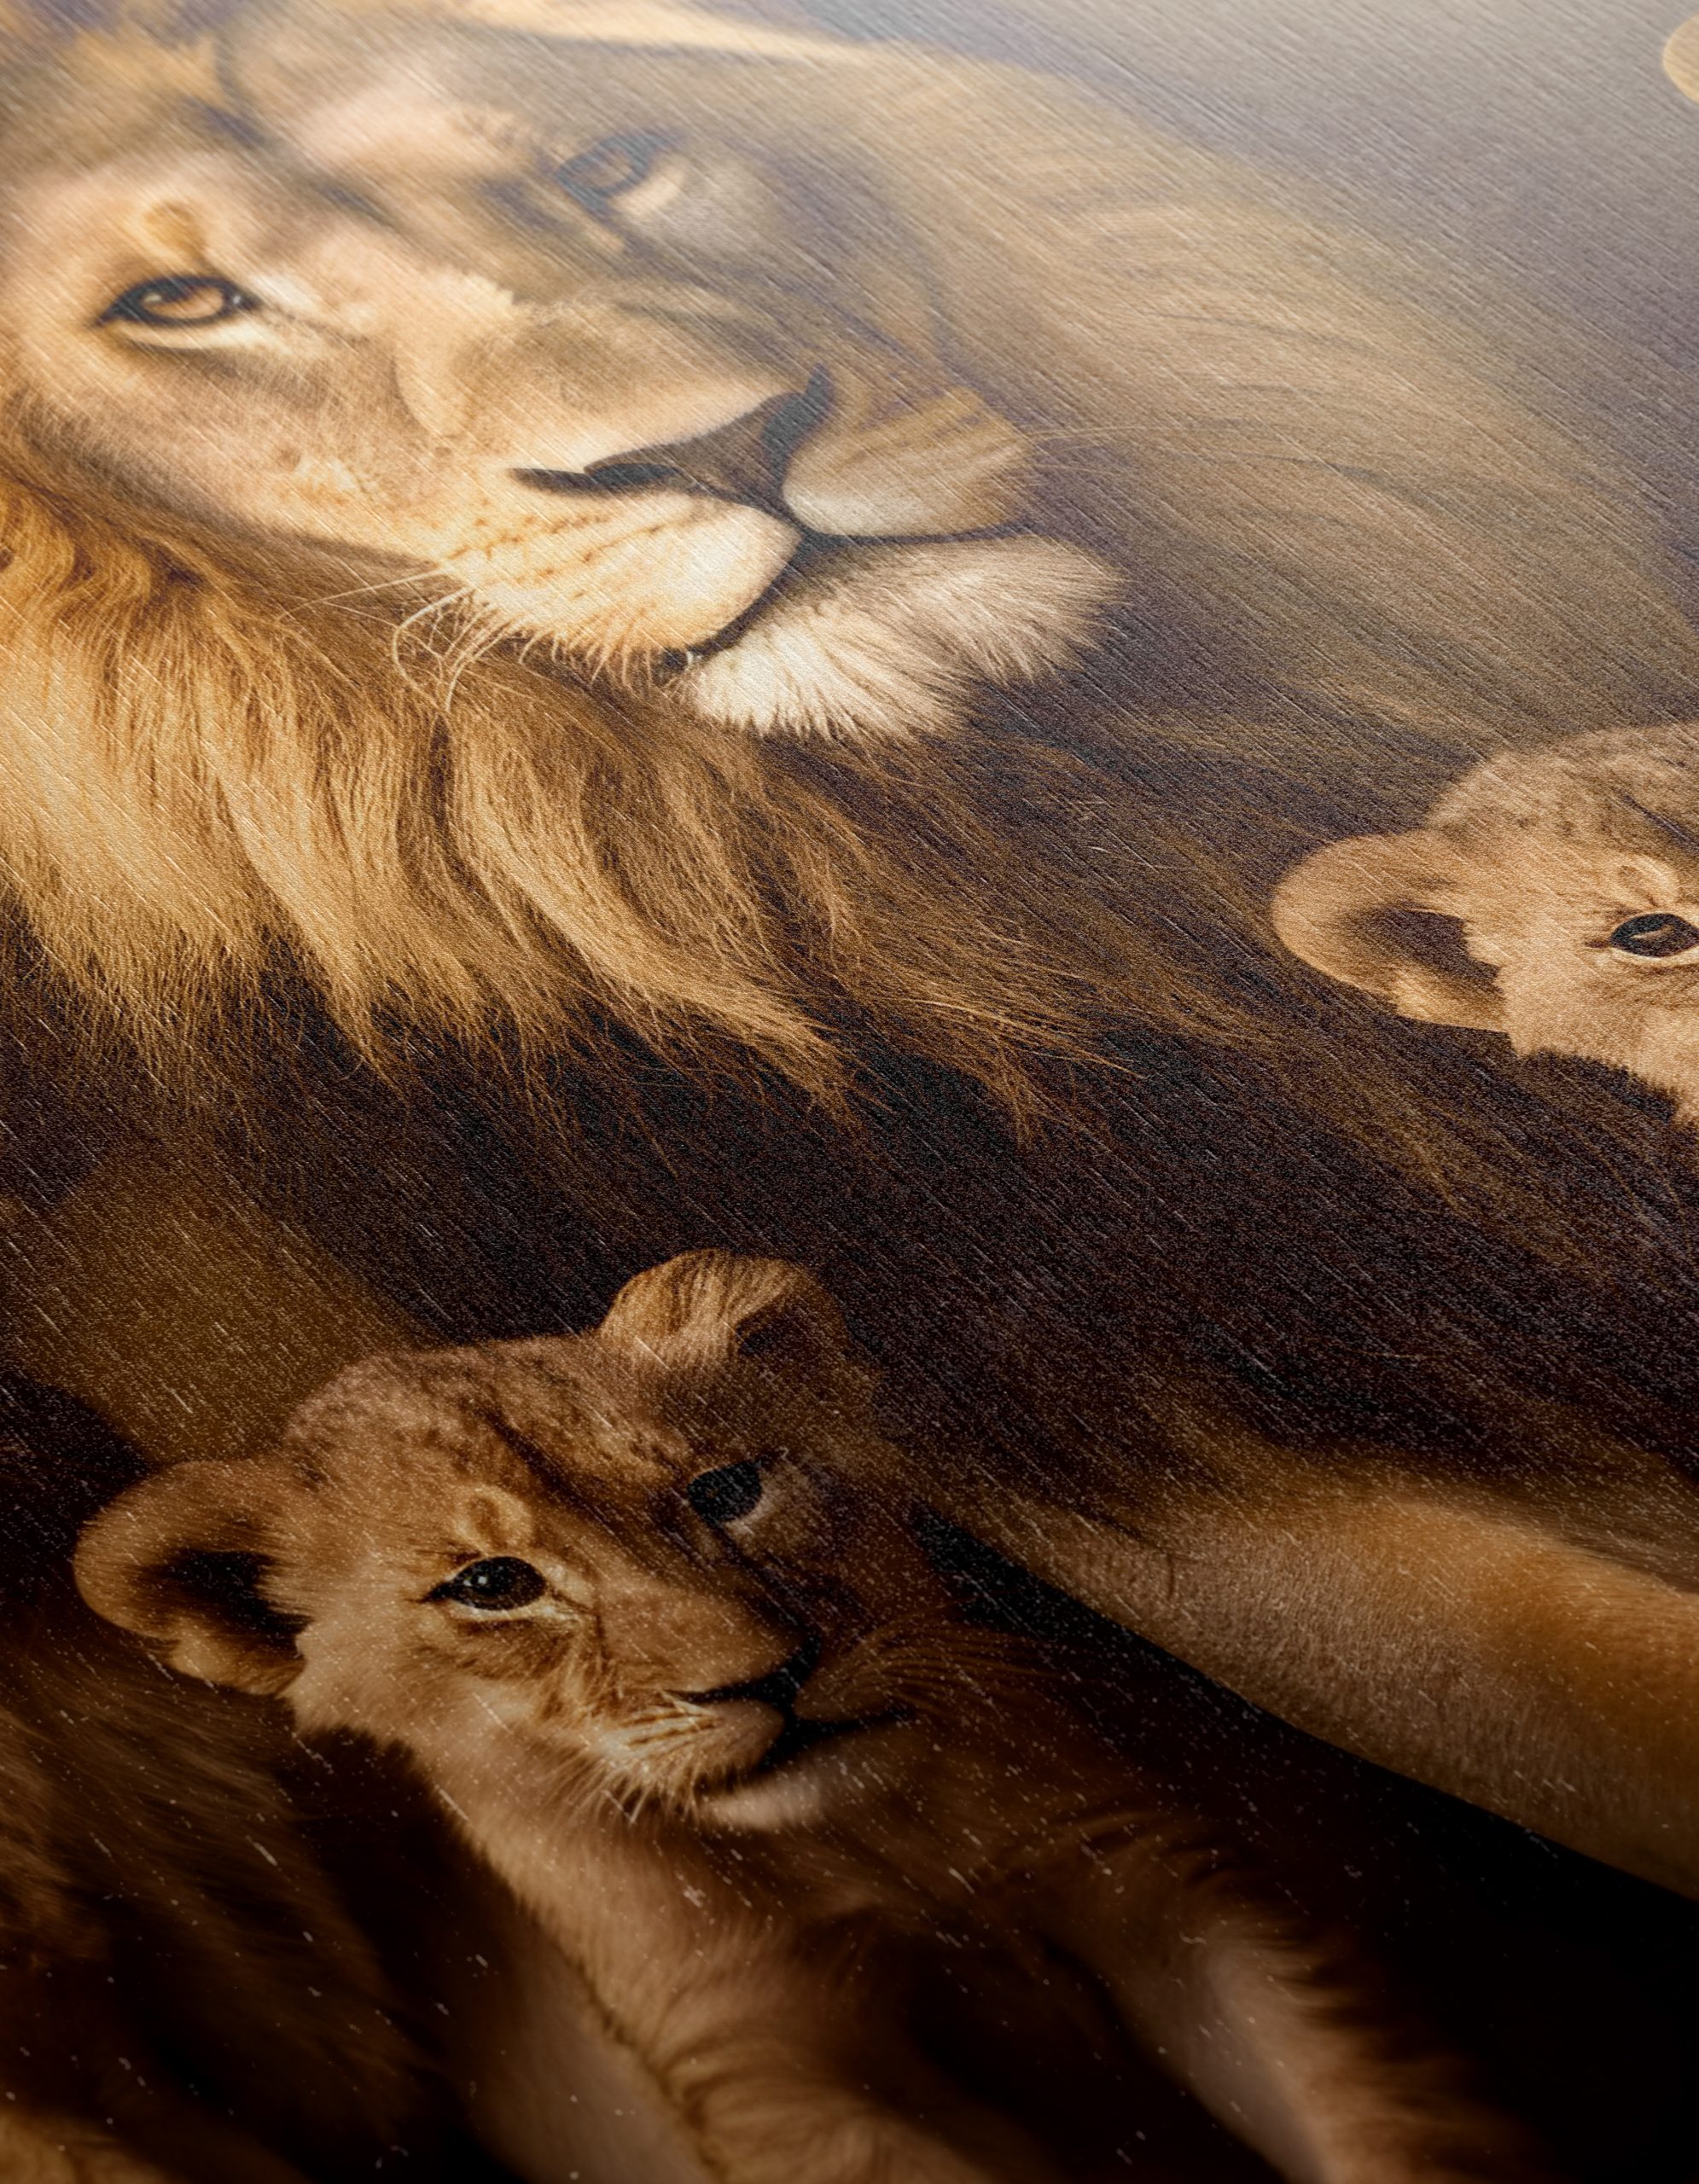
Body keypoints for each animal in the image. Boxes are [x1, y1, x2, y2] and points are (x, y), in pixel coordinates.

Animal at [78, 1250, 1558, 2184]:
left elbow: (1366, 2097)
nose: (767, 1677)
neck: (852, 1844)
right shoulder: (763, 2060)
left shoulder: (1152, 1878)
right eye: (492, 1586)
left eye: (728, 1490)